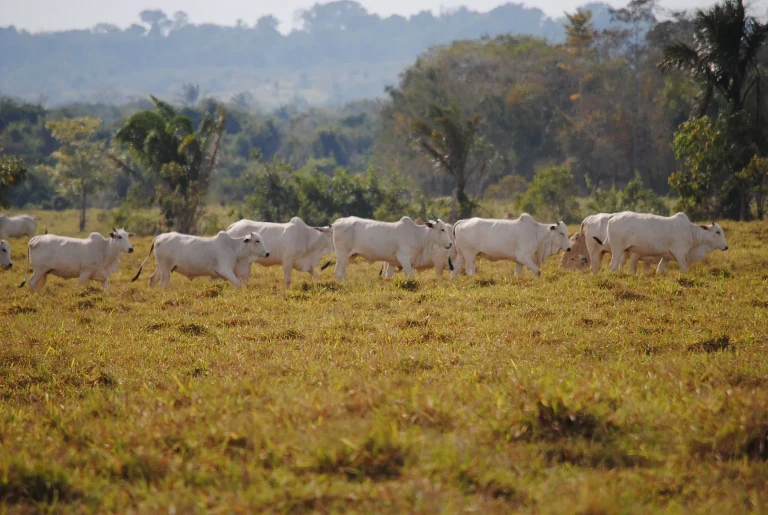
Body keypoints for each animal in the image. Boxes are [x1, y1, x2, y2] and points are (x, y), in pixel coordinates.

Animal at [131, 231, 269, 288]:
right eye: (257, 241)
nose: (267, 253)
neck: (234, 247)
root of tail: (159, 237)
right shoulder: (225, 270)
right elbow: (238, 284)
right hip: (165, 268)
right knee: (163, 283)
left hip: (160, 267)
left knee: (152, 279)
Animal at [595, 212, 728, 274]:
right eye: (717, 232)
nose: (726, 247)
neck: (691, 232)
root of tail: (613, 216)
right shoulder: (680, 255)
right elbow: (685, 270)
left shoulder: (666, 257)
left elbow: (659, 270)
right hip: (617, 250)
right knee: (612, 265)